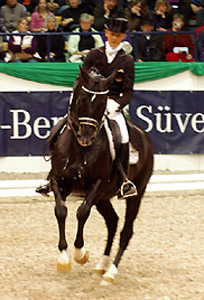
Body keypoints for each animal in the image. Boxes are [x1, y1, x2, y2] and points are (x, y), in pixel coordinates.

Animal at [47, 67, 153, 284]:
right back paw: (101, 265)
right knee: (112, 222)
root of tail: (144, 136)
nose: (86, 138)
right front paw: (63, 259)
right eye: (81, 99)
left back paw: (110, 273)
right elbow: (61, 210)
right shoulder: (58, 180)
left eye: (103, 103)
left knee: (126, 231)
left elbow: (82, 212)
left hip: (135, 194)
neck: (79, 149)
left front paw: (80, 253)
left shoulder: (97, 184)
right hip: (103, 199)